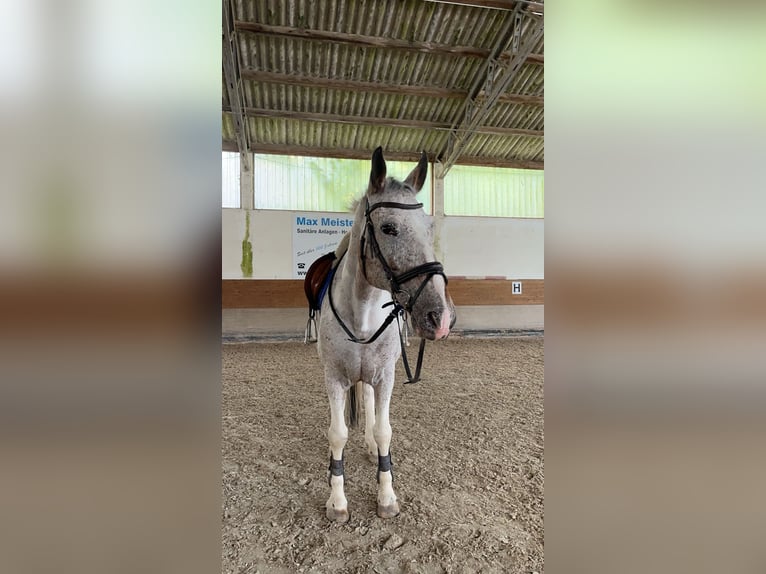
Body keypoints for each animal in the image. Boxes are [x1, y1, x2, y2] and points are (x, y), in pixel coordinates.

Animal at [312, 146, 456, 524]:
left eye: (430, 227)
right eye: (389, 228)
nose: (441, 317)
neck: (362, 313)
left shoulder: (385, 376)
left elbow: (383, 428)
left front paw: (386, 495)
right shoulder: (334, 377)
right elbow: (337, 434)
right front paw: (337, 501)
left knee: (370, 404)